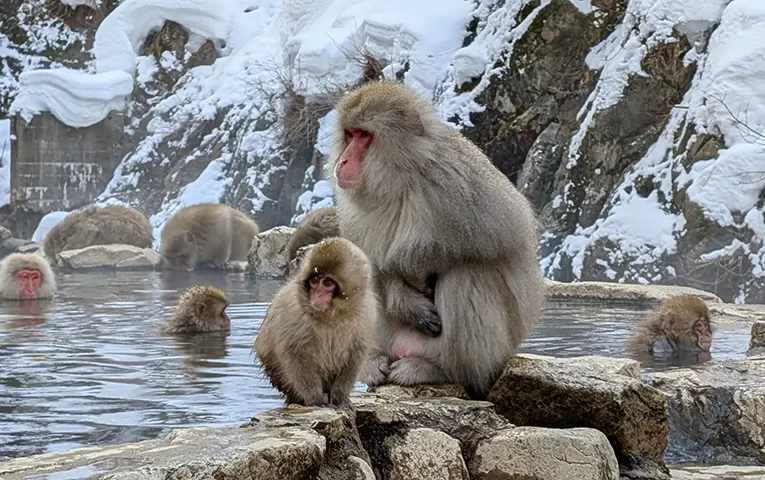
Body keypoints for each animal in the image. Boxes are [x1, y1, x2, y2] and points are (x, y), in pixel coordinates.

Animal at [253, 237, 376, 407]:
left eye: (327, 283)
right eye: (314, 280)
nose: (317, 295)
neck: (332, 315)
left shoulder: (366, 311)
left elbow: (356, 352)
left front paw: (340, 396)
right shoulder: (293, 310)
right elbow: (295, 351)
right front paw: (315, 398)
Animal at [328, 81, 544, 399]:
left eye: (364, 136)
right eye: (350, 134)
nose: (342, 161)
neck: (400, 181)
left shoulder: (454, 178)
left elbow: (507, 234)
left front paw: (411, 261)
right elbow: (372, 267)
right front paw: (404, 299)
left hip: (490, 352)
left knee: (467, 275)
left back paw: (441, 370)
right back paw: (373, 361)